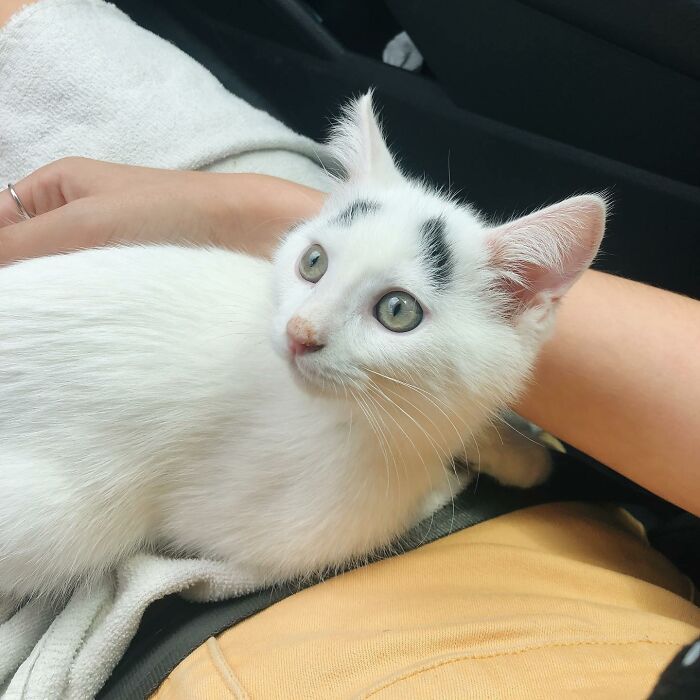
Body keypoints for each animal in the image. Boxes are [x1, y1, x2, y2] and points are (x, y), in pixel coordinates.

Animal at [0, 94, 600, 600]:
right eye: (314, 262)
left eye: (397, 311)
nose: (299, 332)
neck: (375, 418)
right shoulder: (253, 521)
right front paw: (456, 476)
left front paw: (521, 456)